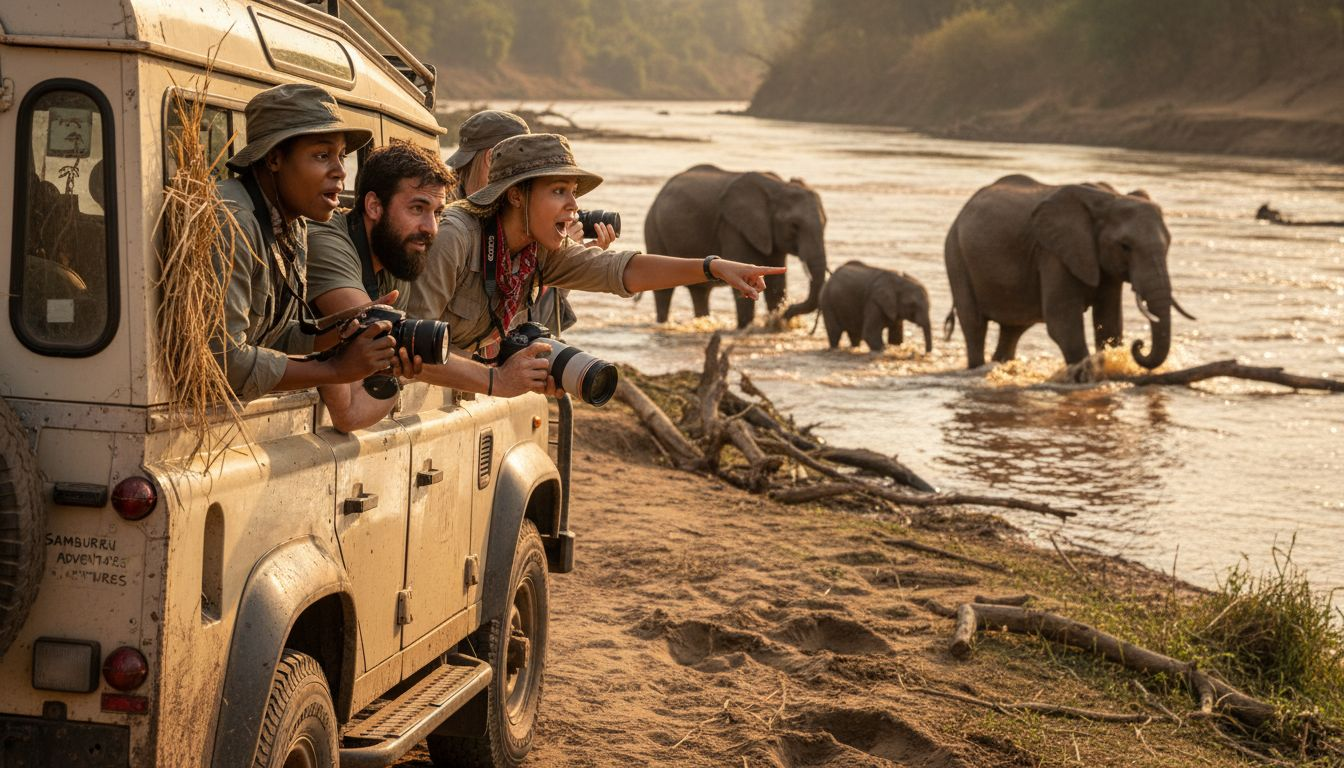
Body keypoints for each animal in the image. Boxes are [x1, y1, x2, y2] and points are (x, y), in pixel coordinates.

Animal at [644, 164, 828, 328]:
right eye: (794, 226)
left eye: (825, 223)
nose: (785, 314)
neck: (778, 187)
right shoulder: (733, 228)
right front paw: (746, 327)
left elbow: (777, 283)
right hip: (653, 228)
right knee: (664, 291)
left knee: (700, 292)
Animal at [944, 174, 1195, 370]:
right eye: (1125, 246)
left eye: (1169, 243)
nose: (1139, 345)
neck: (1109, 198)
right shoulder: (1053, 253)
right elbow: (1062, 322)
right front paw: (1085, 375)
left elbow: (1110, 322)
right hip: (955, 255)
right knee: (974, 324)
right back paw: (976, 368)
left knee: (1012, 329)